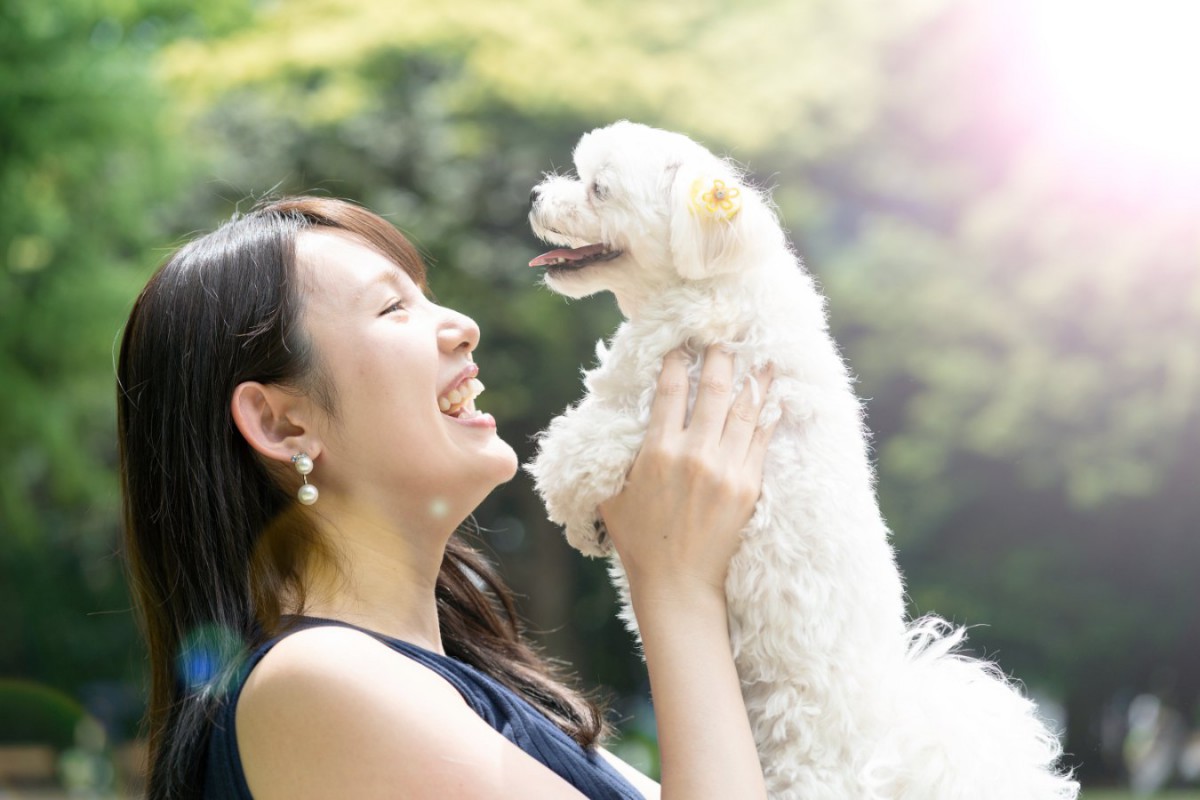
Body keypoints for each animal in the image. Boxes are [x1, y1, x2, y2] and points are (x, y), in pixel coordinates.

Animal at [525, 120, 1080, 800]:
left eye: (598, 189)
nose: (535, 197)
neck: (708, 287)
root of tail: (888, 753)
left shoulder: (667, 415)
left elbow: (575, 447)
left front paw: (576, 513)